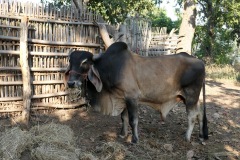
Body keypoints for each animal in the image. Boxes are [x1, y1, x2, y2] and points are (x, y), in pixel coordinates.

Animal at [65, 42, 208, 143]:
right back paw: (201, 136)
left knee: (192, 116)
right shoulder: (121, 97)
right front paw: (122, 134)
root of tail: (200, 61)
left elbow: (133, 119)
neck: (112, 67)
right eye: (70, 61)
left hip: (191, 96)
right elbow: (123, 118)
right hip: (191, 98)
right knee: (200, 113)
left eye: (84, 62)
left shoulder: (132, 97)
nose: (71, 83)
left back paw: (187, 137)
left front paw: (134, 139)